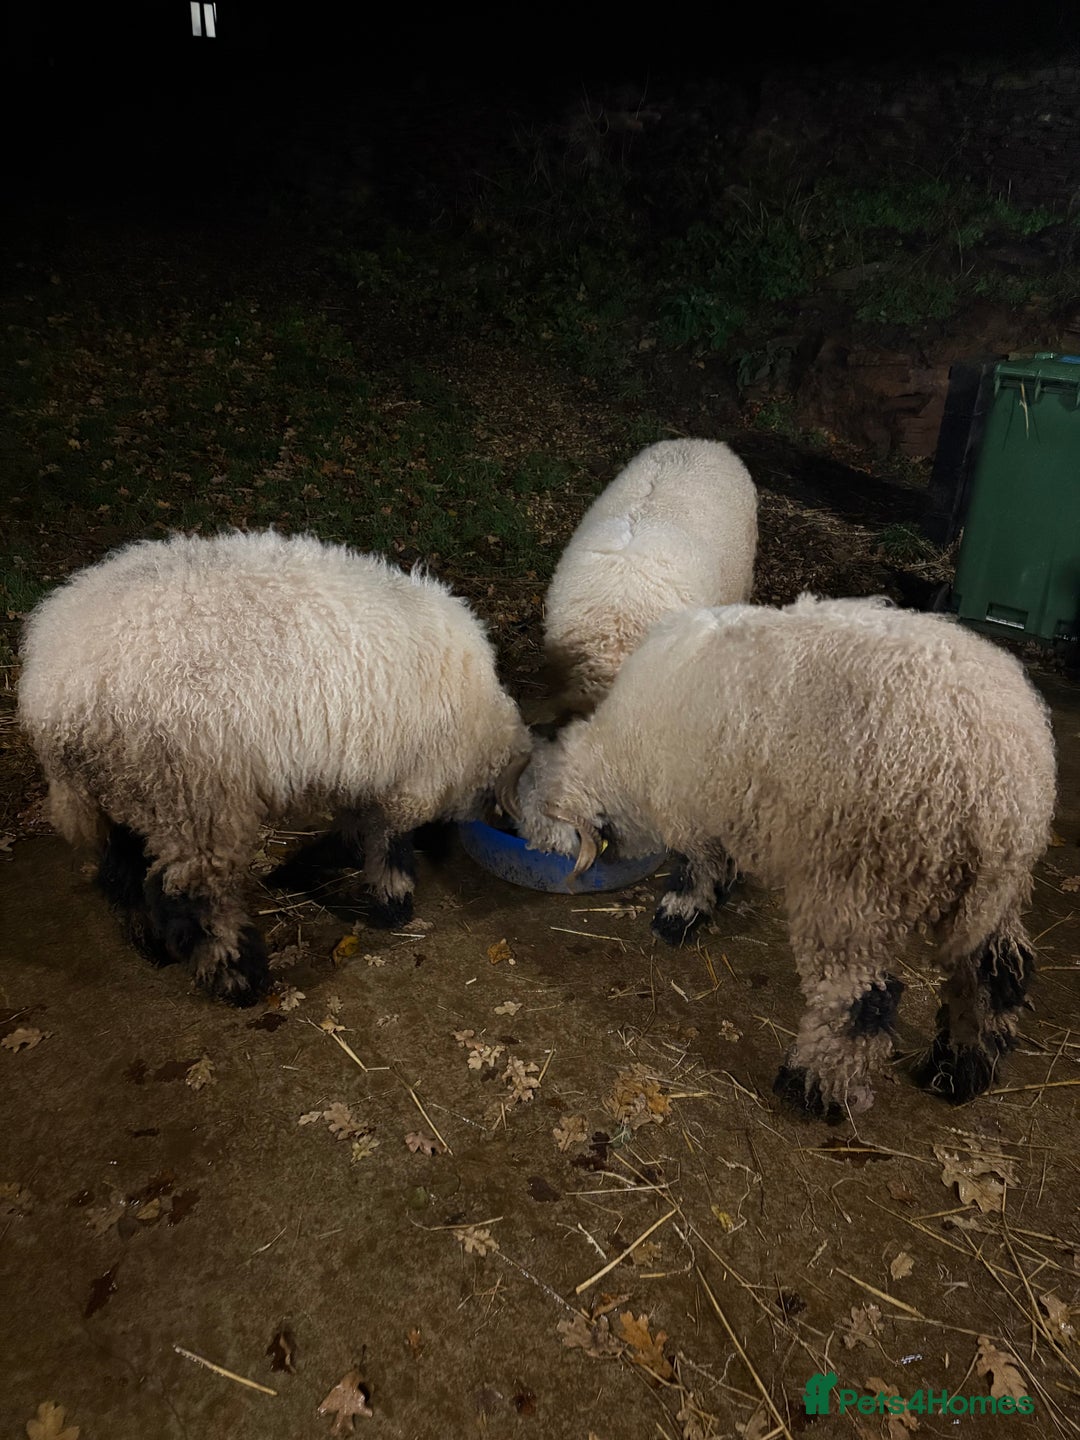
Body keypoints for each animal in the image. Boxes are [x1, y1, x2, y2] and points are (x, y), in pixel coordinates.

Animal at [18, 530, 530, 1006]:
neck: (481, 728)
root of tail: (54, 687)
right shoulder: (410, 775)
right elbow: (390, 842)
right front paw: (393, 902)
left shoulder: (361, 760)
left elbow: (357, 817)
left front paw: (336, 854)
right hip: (192, 800)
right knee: (191, 898)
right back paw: (236, 977)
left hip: (128, 793)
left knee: (122, 870)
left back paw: (152, 946)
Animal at [514, 595, 1056, 1117]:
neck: (621, 755)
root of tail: (1002, 779)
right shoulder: (723, 804)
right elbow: (718, 860)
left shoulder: (692, 807)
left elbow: (696, 867)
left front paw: (677, 916)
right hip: (989, 898)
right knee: (998, 974)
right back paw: (958, 1071)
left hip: (855, 888)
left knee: (860, 1002)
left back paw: (812, 1089)